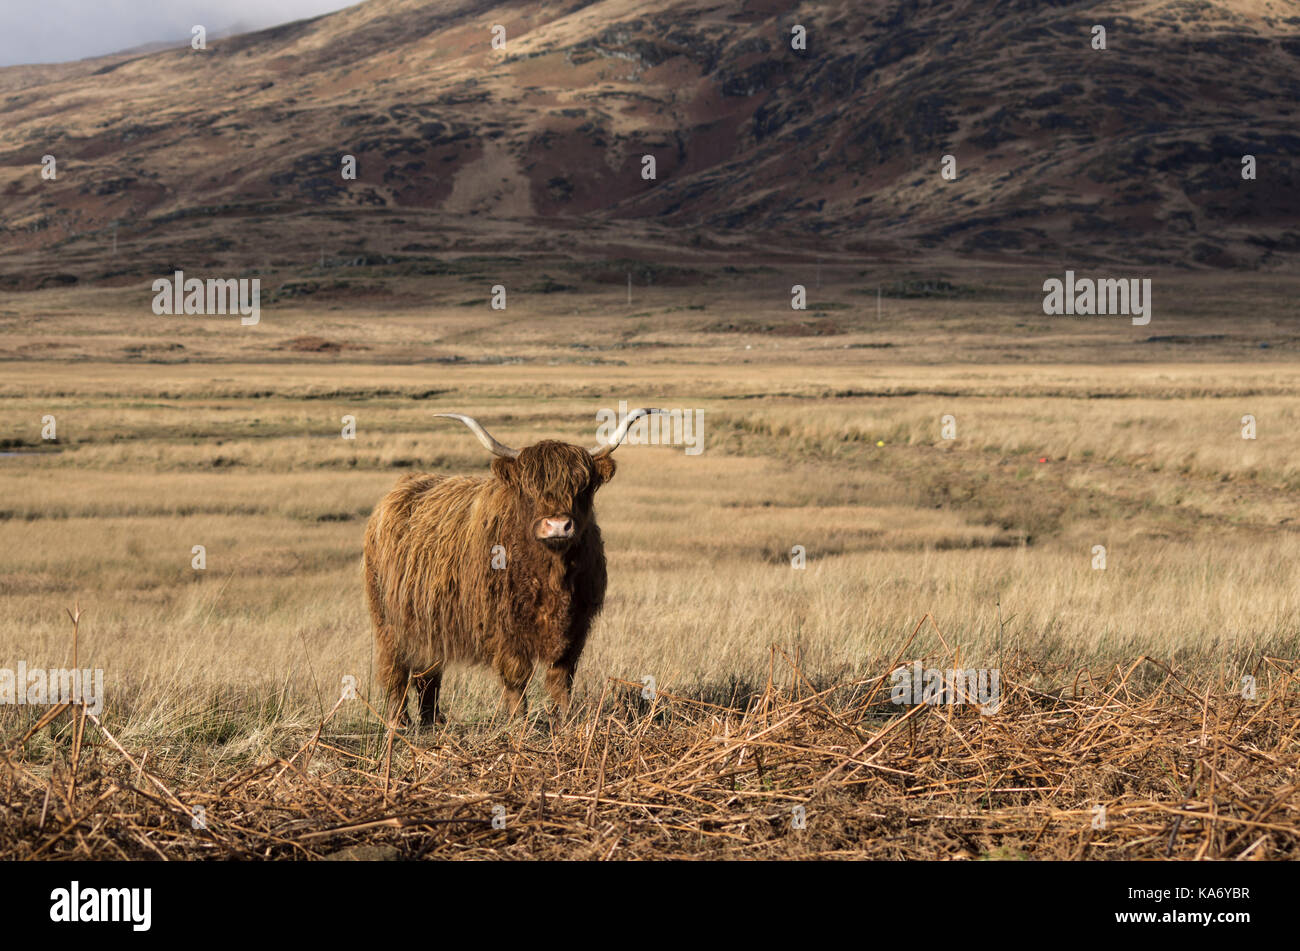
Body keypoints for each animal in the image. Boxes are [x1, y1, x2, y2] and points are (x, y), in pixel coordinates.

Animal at [363, 408, 658, 726]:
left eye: (582, 487)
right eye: (530, 490)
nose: (558, 525)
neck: (551, 574)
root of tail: (403, 486)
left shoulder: (576, 626)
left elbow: (561, 677)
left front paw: (566, 720)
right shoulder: (503, 627)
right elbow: (517, 677)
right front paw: (519, 723)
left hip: (427, 623)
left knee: (428, 673)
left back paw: (431, 723)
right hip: (388, 621)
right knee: (395, 671)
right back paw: (398, 723)